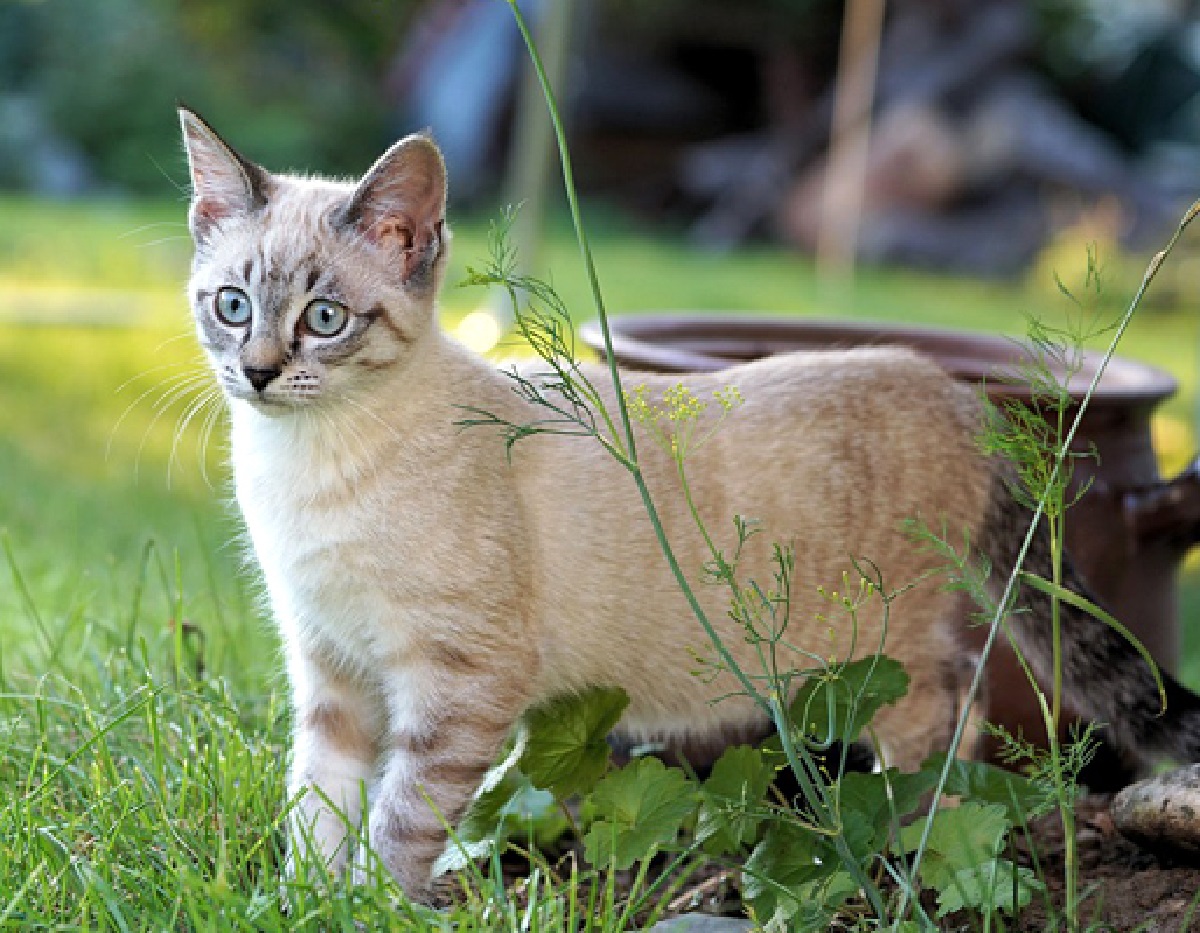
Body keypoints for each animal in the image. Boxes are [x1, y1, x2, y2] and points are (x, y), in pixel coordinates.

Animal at [175, 107, 1200, 892]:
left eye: (325, 319)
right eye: (232, 305)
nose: (258, 373)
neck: (304, 467)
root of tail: (956, 390)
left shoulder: (458, 683)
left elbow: (401, 820)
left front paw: (369, 904)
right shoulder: (330, 673)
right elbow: (317, 805)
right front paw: (303, 902)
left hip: (883, 651)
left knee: (955, 712)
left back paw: (917, 844)